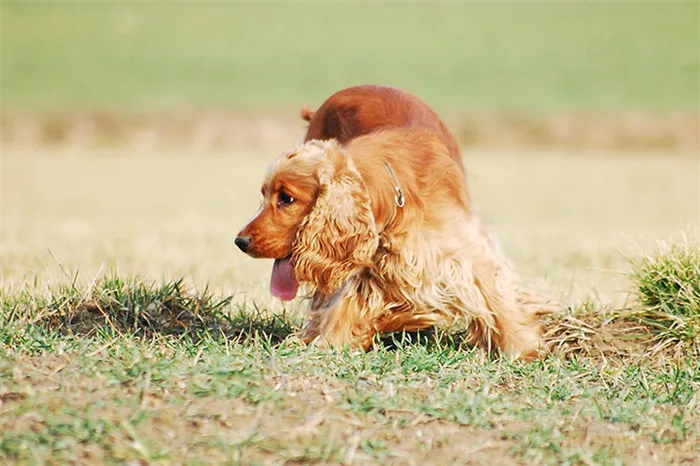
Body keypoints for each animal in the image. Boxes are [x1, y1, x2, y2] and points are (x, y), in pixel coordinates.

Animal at [235, 128, 556, 360]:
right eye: (264, 195)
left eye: (286, 198)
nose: (240, 241)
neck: (394, 203)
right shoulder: (363, 267)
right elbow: (344, 306)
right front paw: (327, 343)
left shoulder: (466, 253)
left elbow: (497, 301)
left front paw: (524, 348)